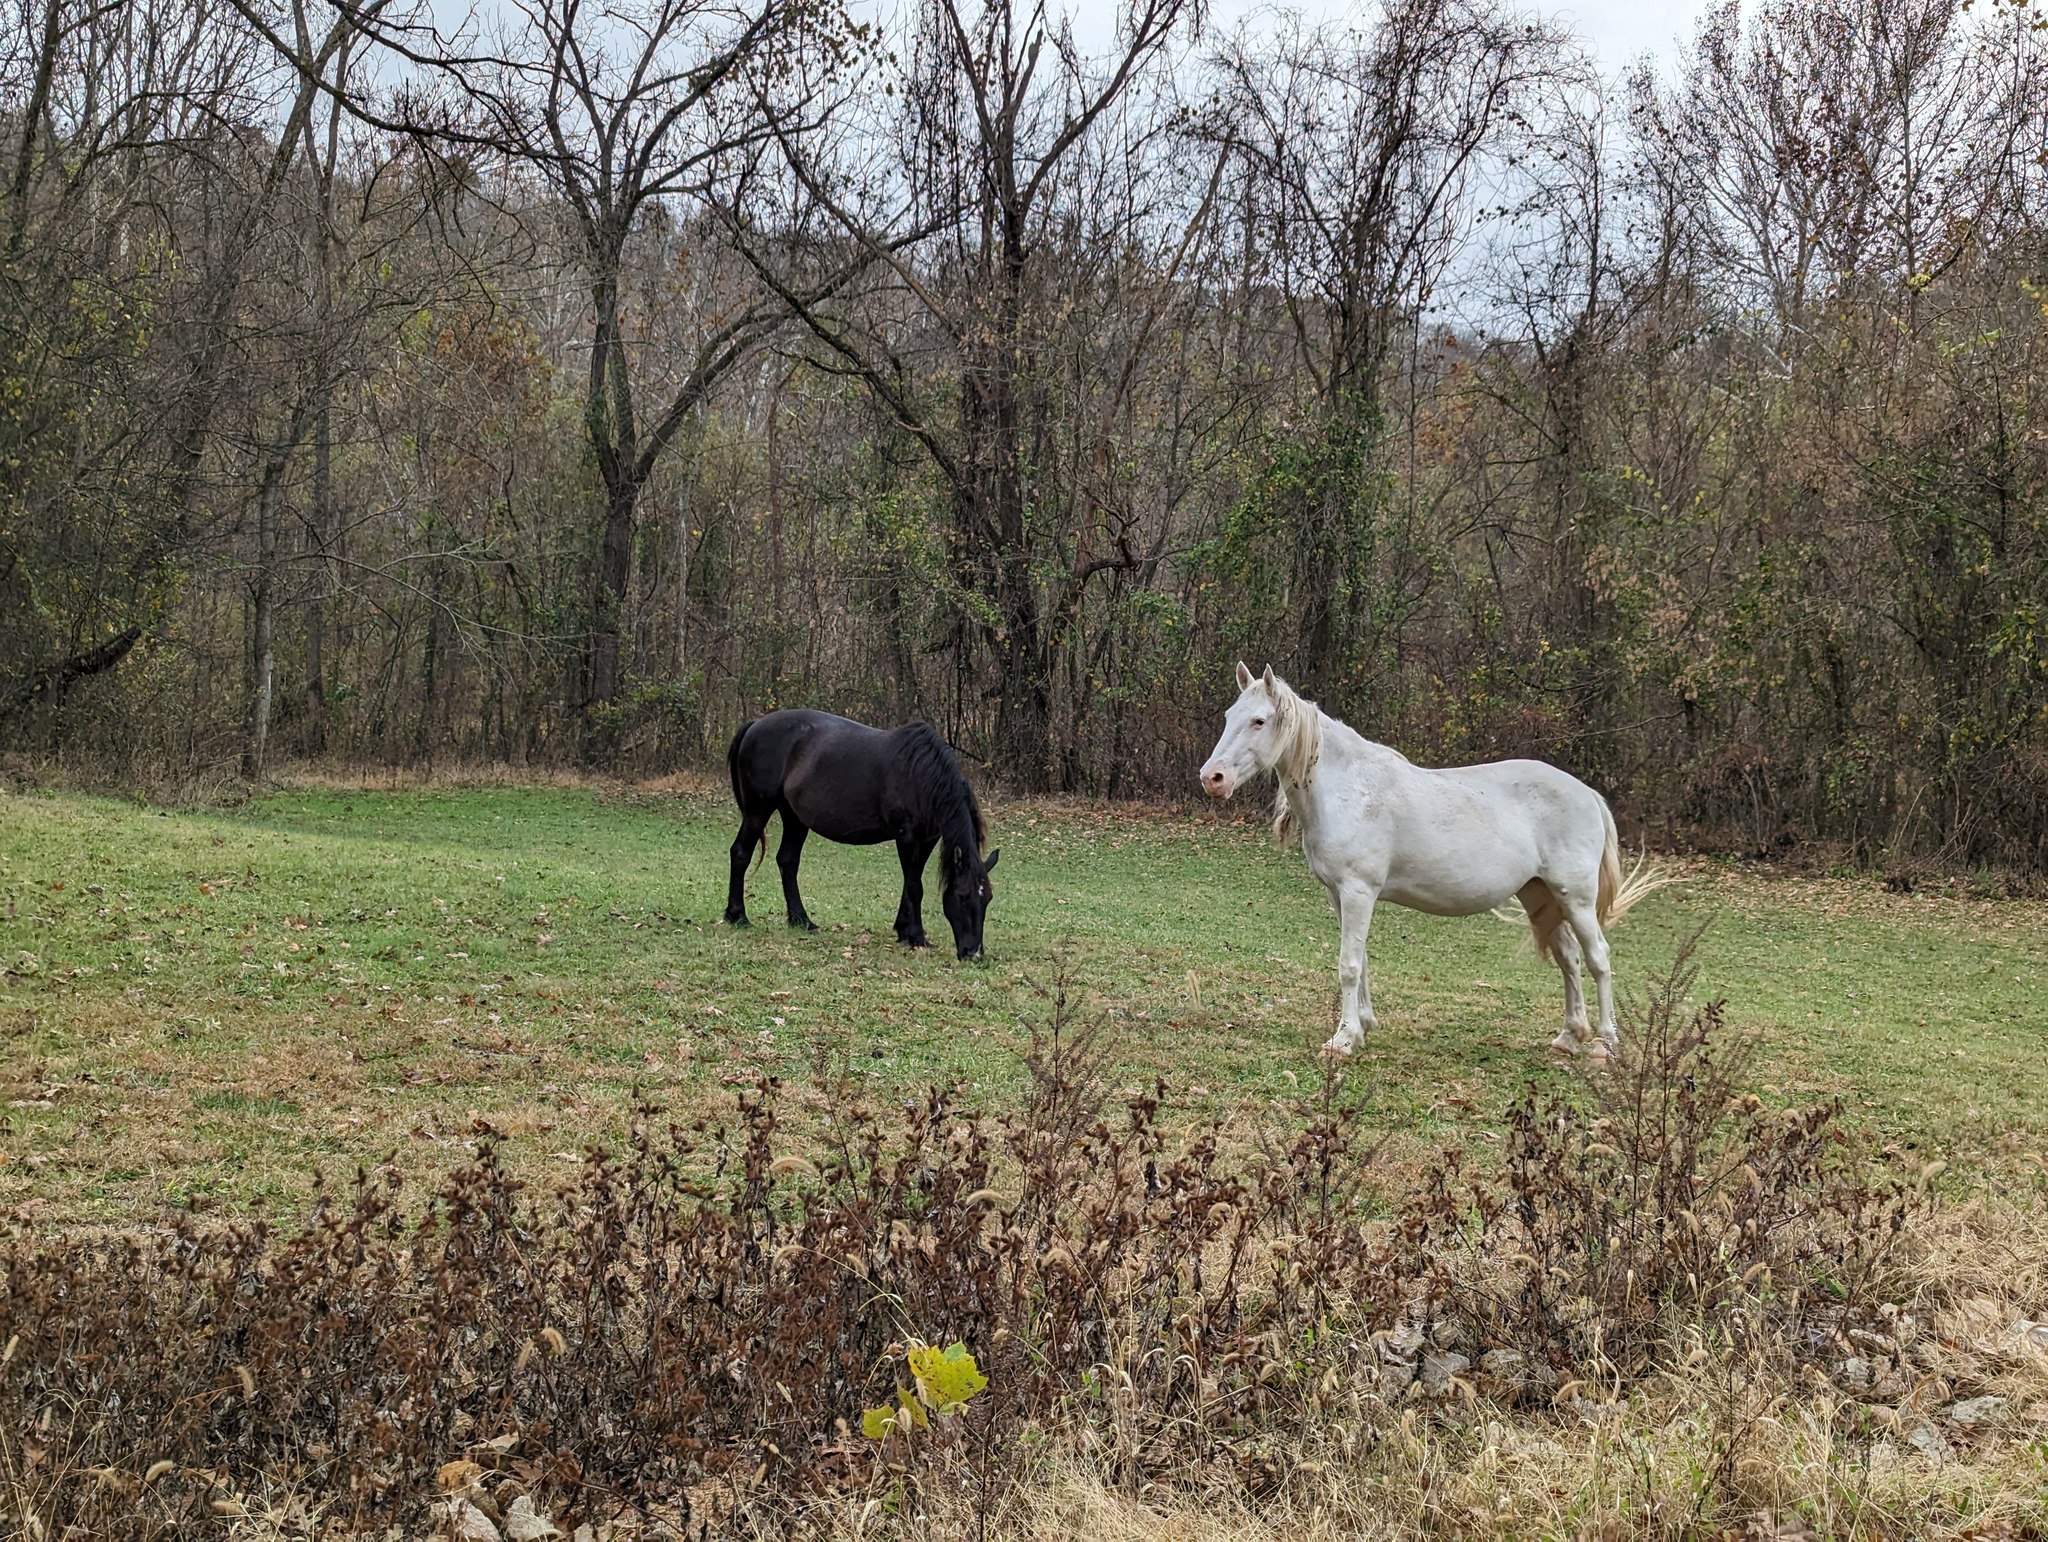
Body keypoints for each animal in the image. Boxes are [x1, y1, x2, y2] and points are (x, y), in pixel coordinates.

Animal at [724, 710, 1000, 959]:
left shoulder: (927, 839)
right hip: (758, 811)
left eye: (988, 899)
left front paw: (903, 931)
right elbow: (914, 886)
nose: (974, 953)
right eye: (963, 896)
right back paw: (737, 916)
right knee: (741, 853)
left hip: (794, 817)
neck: (919, 774)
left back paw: (801, 920)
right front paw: (917, 937)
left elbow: (910, 882)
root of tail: (755, 724)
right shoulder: (907, 837)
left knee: (787, 861)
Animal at [1198, 662, 1671, 1062]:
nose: (1212, 779)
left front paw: (1342, 1040)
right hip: (1541, 896)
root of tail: (1586, 793)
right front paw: (1362, 1027)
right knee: (1569, 959)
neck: (1348, 788)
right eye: (1229, 715)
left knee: (1598, 959)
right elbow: (1361, 960)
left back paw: (1605, 1046)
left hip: (1576, 898)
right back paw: (1569, 1037)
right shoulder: (1339, 895)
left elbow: (1348, 966)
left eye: (1259, 721)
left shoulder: (1358, 892)